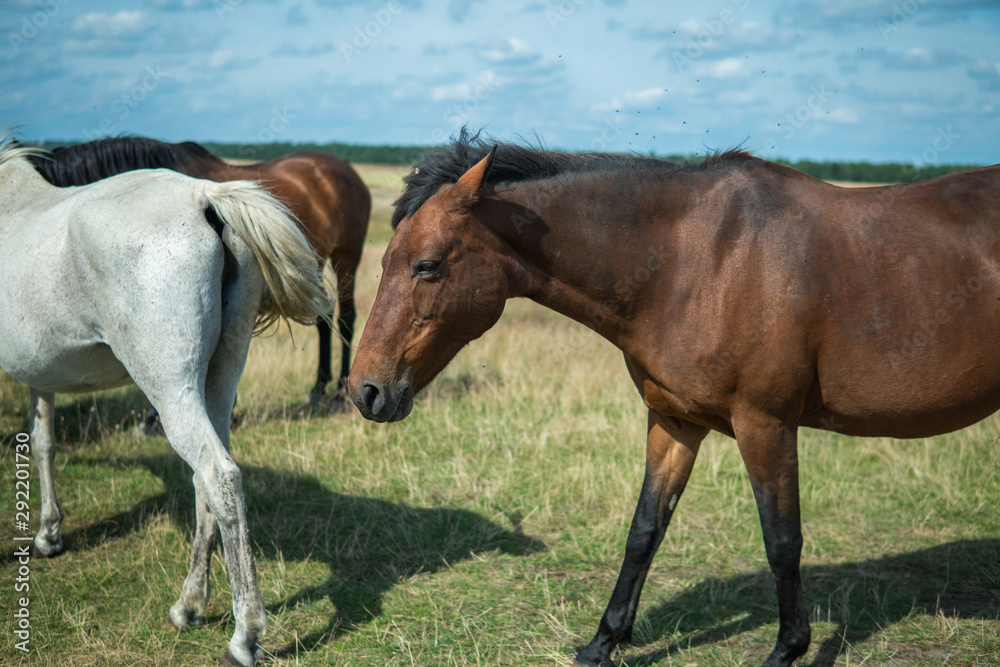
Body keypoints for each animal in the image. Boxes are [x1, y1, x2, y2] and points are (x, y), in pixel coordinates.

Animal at [0, 140, 336, 664]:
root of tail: (205, 199)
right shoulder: (42, 372)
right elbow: (43, 442)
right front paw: (49, 532)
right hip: (217, 381)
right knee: (210, 481)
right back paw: (190, 605)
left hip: (171, 389)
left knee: (218, 476)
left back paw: (243, 635)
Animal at [30, 137, 372, 412]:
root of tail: (345, 169)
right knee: (323, 319)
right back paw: (318, 389)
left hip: (346, 258)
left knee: (345, 318)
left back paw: (341, 395)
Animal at [350, 132, 1000, 667]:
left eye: (427, 266)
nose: (365, 390)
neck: (699, 261)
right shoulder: (674, 422)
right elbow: (645, 530)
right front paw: (603, 643)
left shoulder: (766, 426)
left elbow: (782, 540)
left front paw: (789, 649)